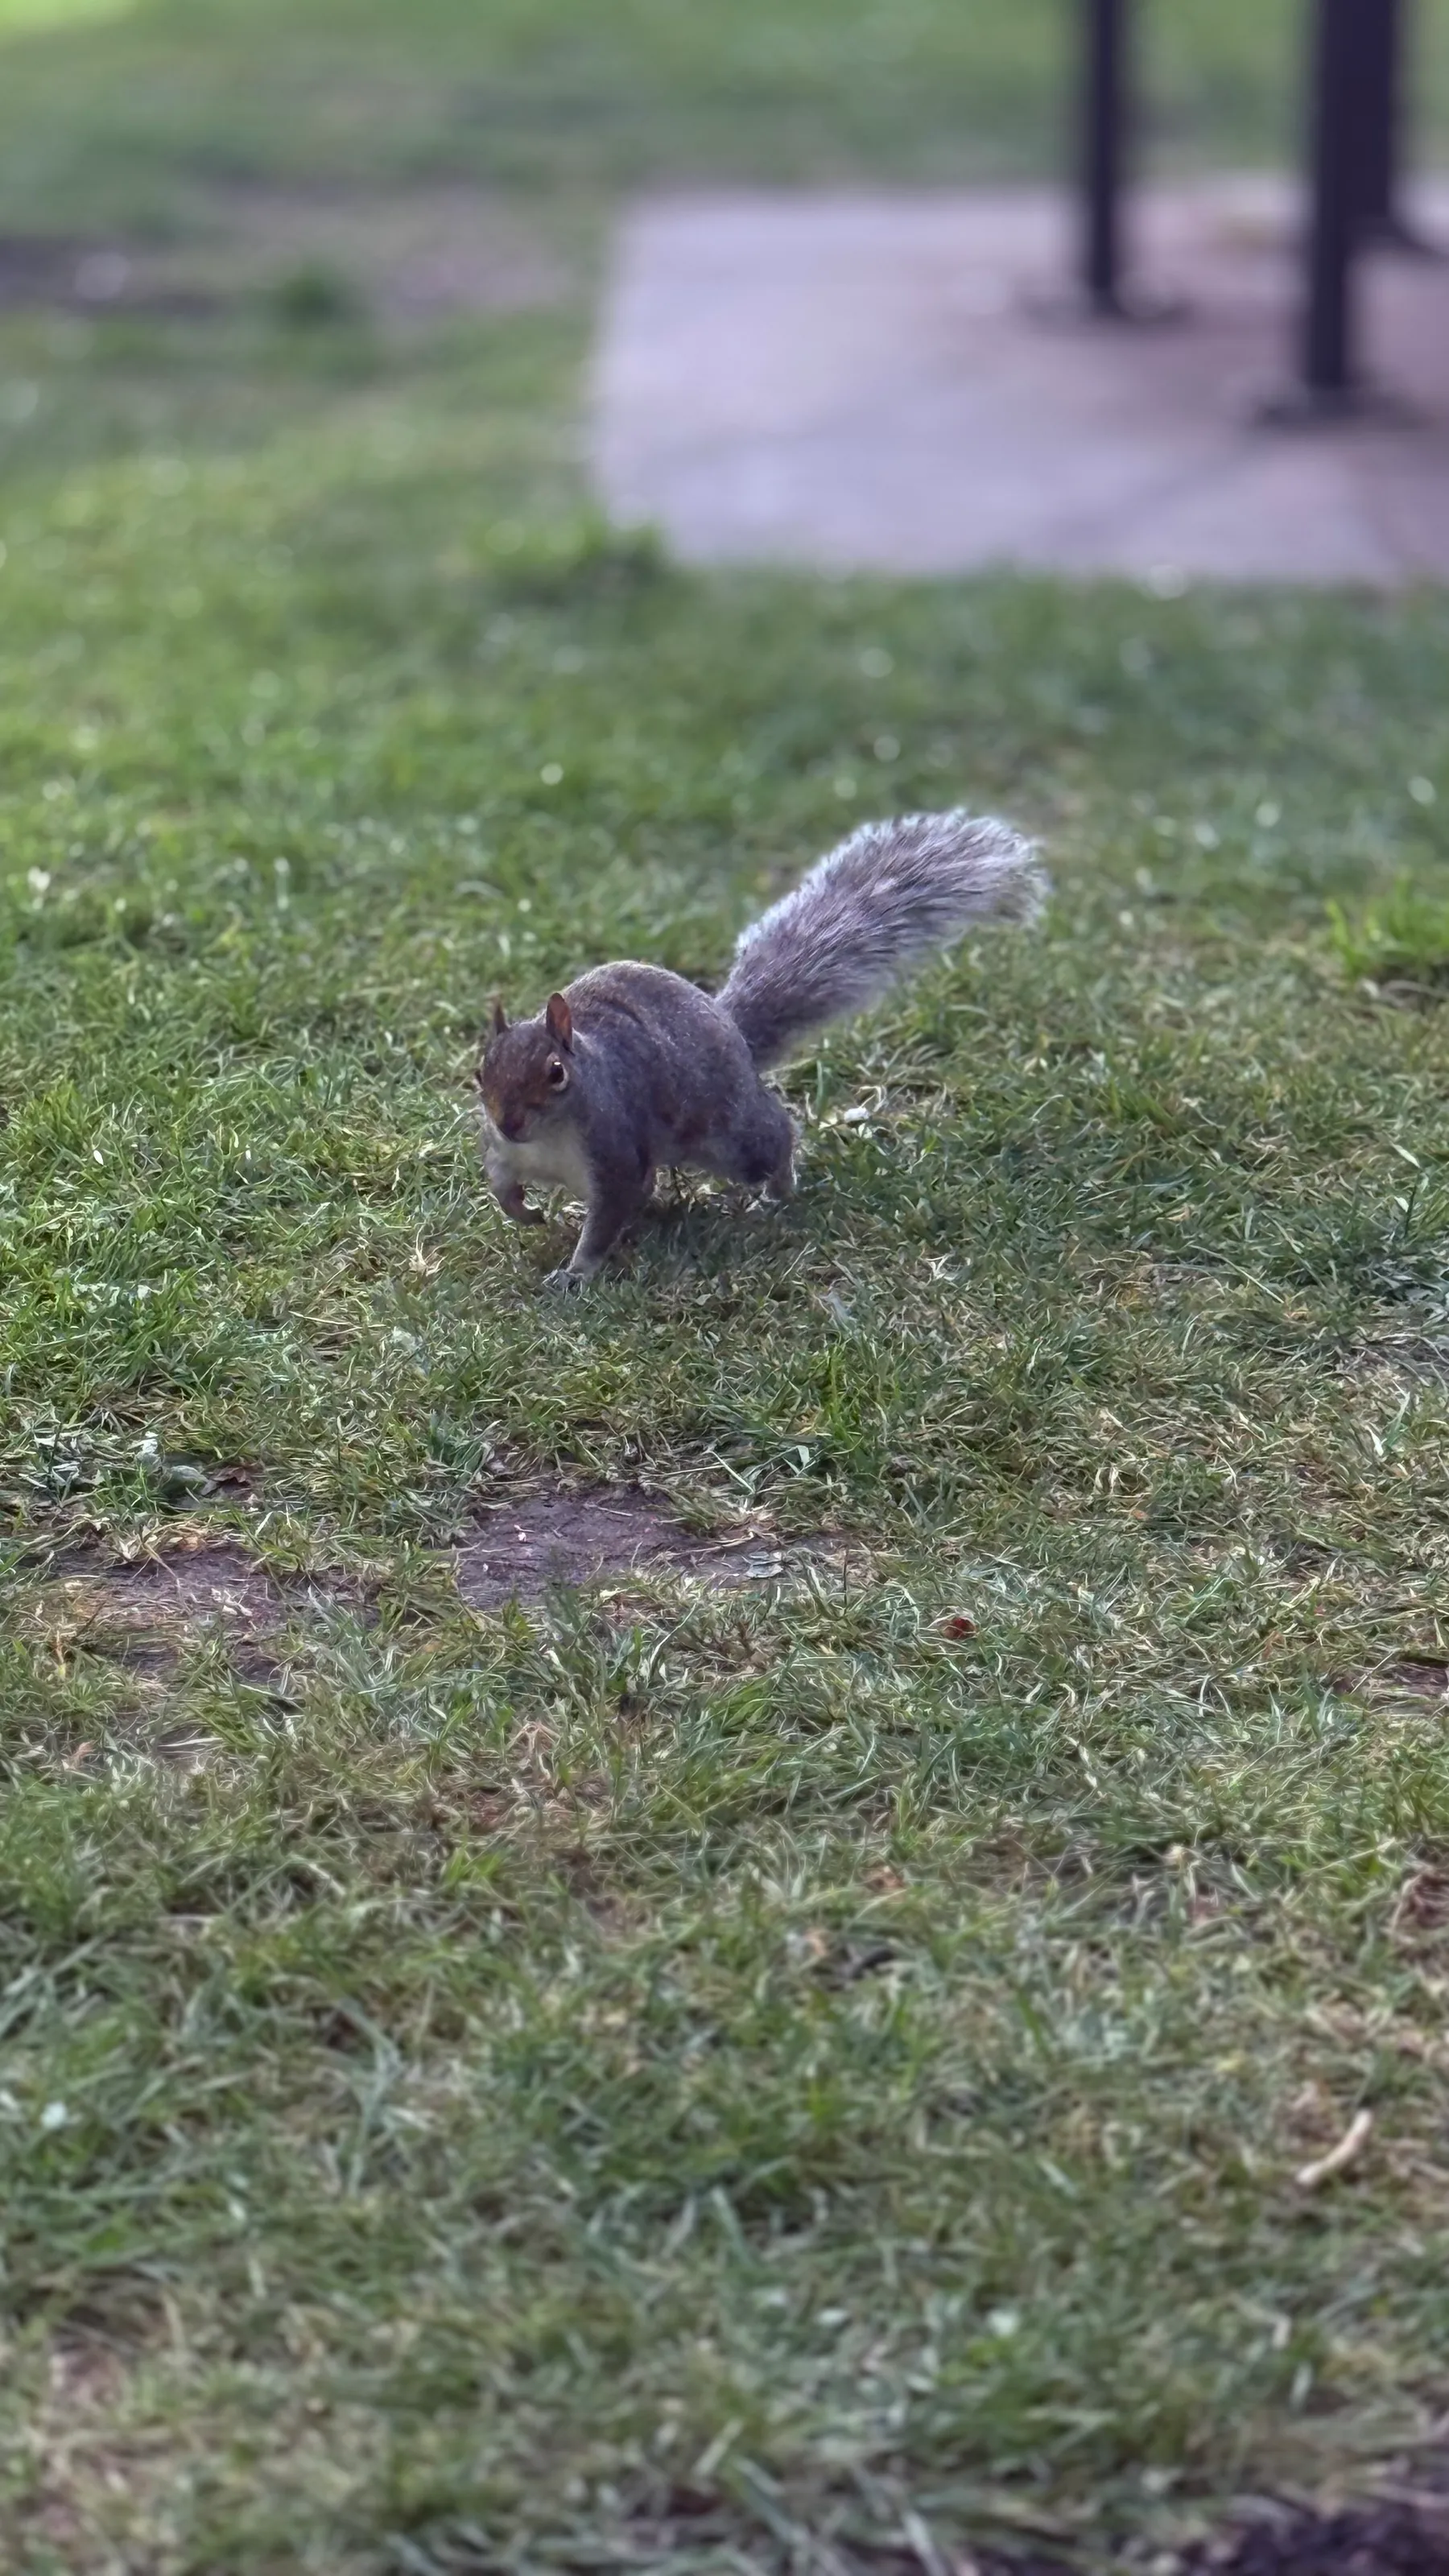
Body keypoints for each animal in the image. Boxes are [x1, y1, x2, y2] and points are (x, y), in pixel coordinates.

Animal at [476, 807, 1044, 1288]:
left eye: (556, 1073)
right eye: (481, 1073)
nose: (510, 1122)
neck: (547, 1140)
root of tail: (733, 1033)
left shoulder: (612, 1153)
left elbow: (605, 1221)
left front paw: (576, 1274)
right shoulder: (504, 1152)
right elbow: (502, 1186)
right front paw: (526, 1213)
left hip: (727, 1133)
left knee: (775, 1135)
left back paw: (778, 1193)